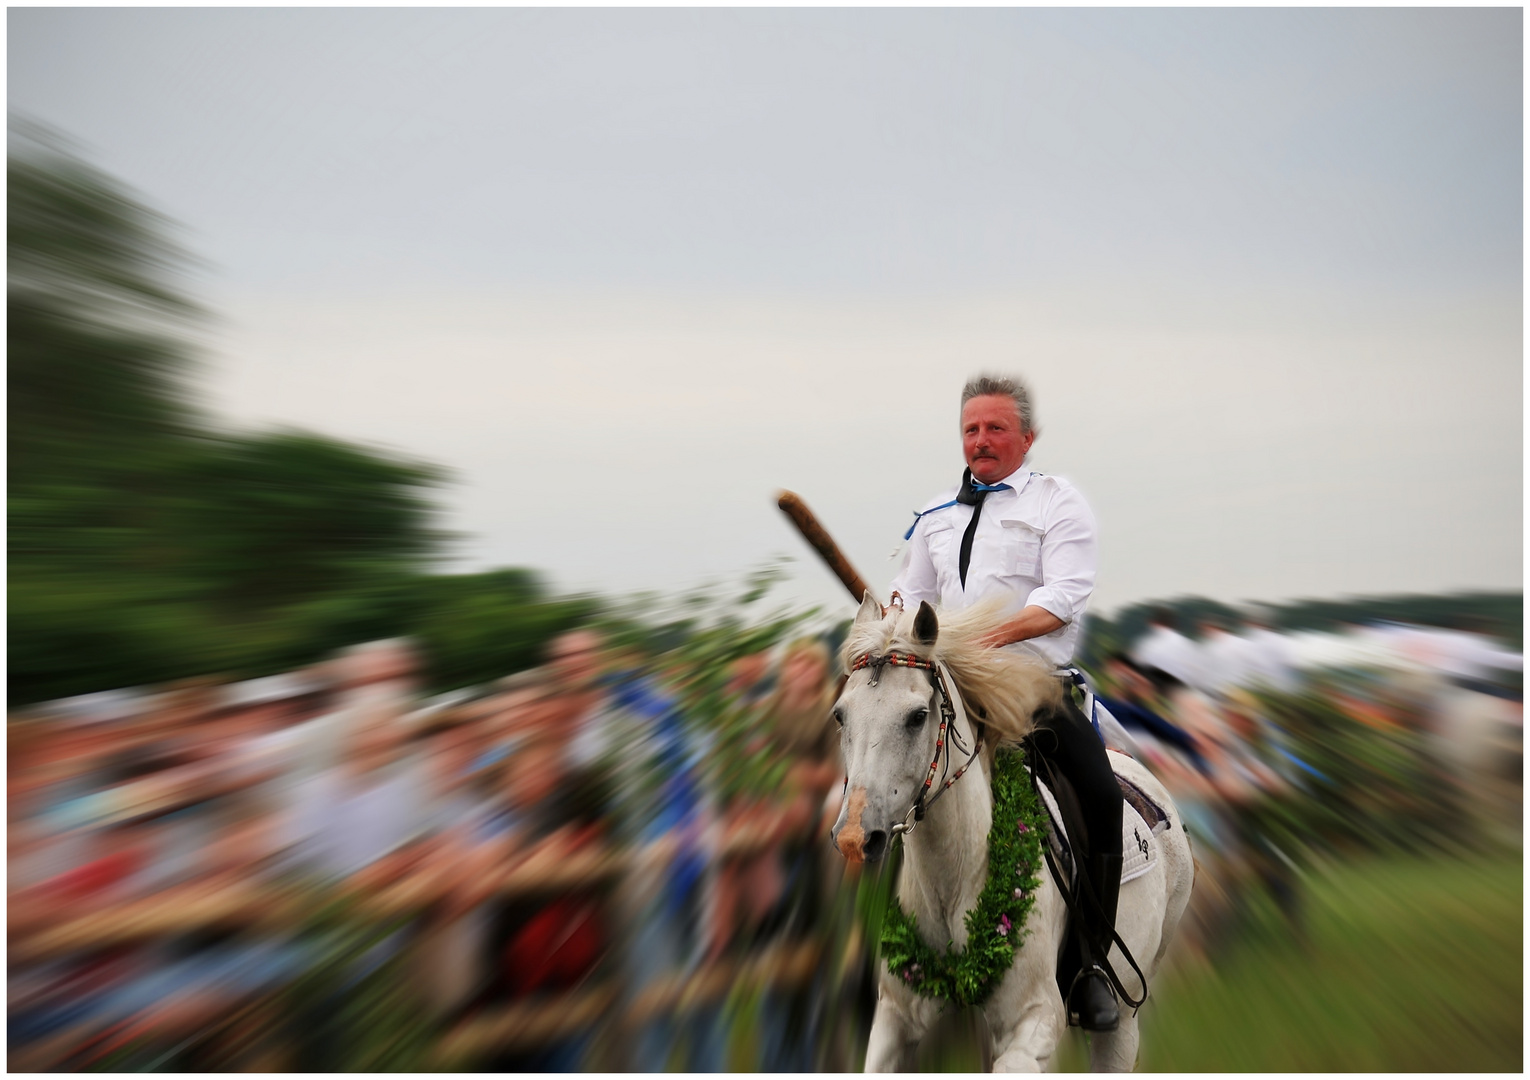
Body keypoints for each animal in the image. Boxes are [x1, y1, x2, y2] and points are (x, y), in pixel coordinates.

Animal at [826, 593, 1193, 1070]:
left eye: (917, 716)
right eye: (840, 715)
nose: (855, 838)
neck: (954, 881)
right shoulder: (897, 1017)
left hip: (1124, 1013)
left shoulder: (1033, 1019)